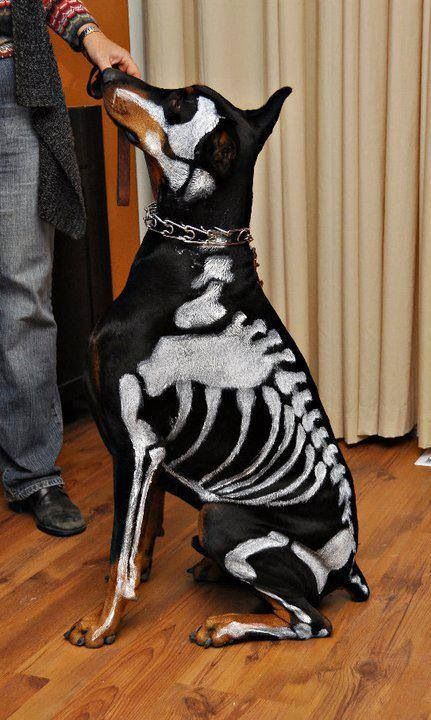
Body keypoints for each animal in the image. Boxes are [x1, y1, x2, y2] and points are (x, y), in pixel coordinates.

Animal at [66, 70, 370, 648]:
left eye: (181, 103)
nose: (107, 73)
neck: (194, 255)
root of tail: (347, 566)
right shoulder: (151, 453)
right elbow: (142, 536)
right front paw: (137, 582)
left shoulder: (136, 446)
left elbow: (119, 554)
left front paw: (102, 623)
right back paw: (211, 571)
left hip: (223, 519)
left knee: (310, 621)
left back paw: (224, 625)